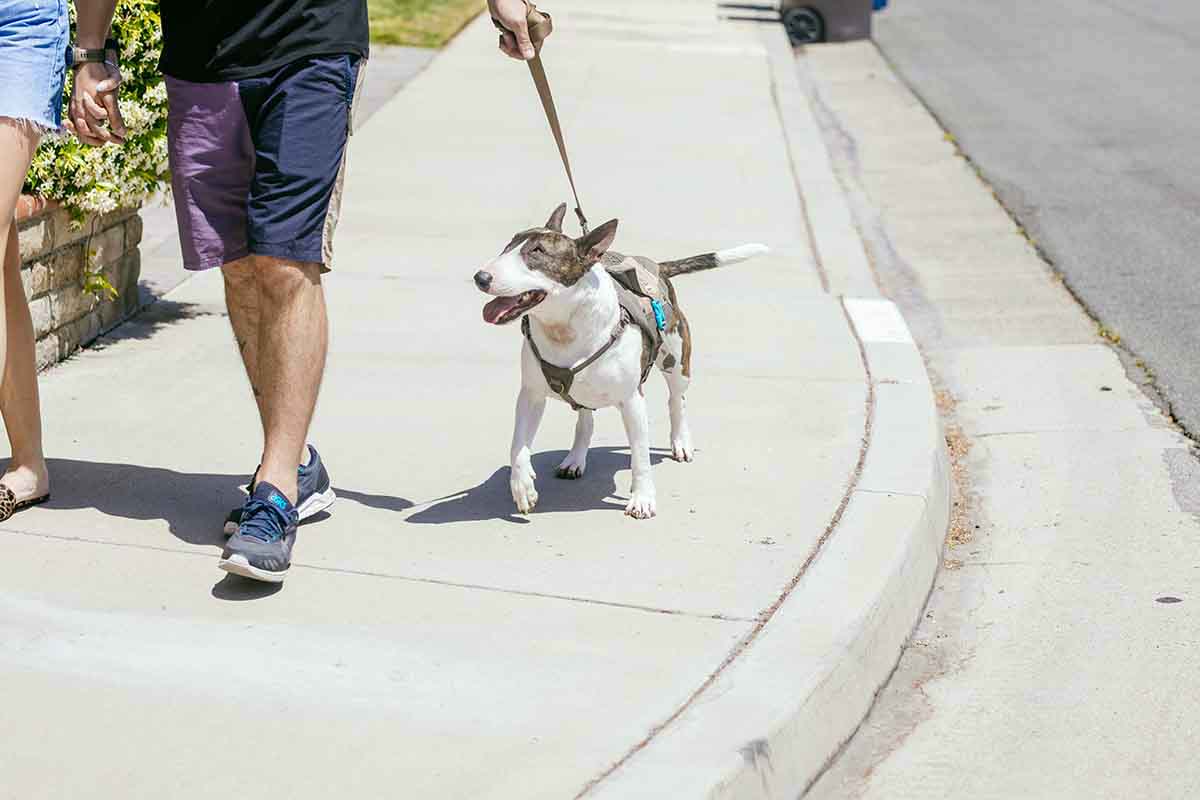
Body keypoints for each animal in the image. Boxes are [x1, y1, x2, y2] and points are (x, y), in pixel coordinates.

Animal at [472, 203, 763, 522]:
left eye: (537, 251)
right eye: (509, 245)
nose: (480, 277)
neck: (564, 327)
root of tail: (657, 267)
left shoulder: (632, 400)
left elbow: (640, 456)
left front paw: (643, 499)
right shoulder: (531, 394)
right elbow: (518, 444)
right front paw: (522, 486)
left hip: (676, 360)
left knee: (677, 399)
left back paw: (681, 442)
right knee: (585, 418)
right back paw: (575, 459)